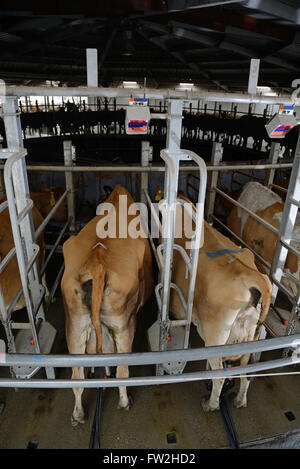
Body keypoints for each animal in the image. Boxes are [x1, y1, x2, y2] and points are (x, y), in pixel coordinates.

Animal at [61, 185, 155, 426]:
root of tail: (97, 263)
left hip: (74, 326)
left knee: (76, 377)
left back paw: (78, 415)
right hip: (123, 325)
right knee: (122, 370)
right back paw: (124, 401)